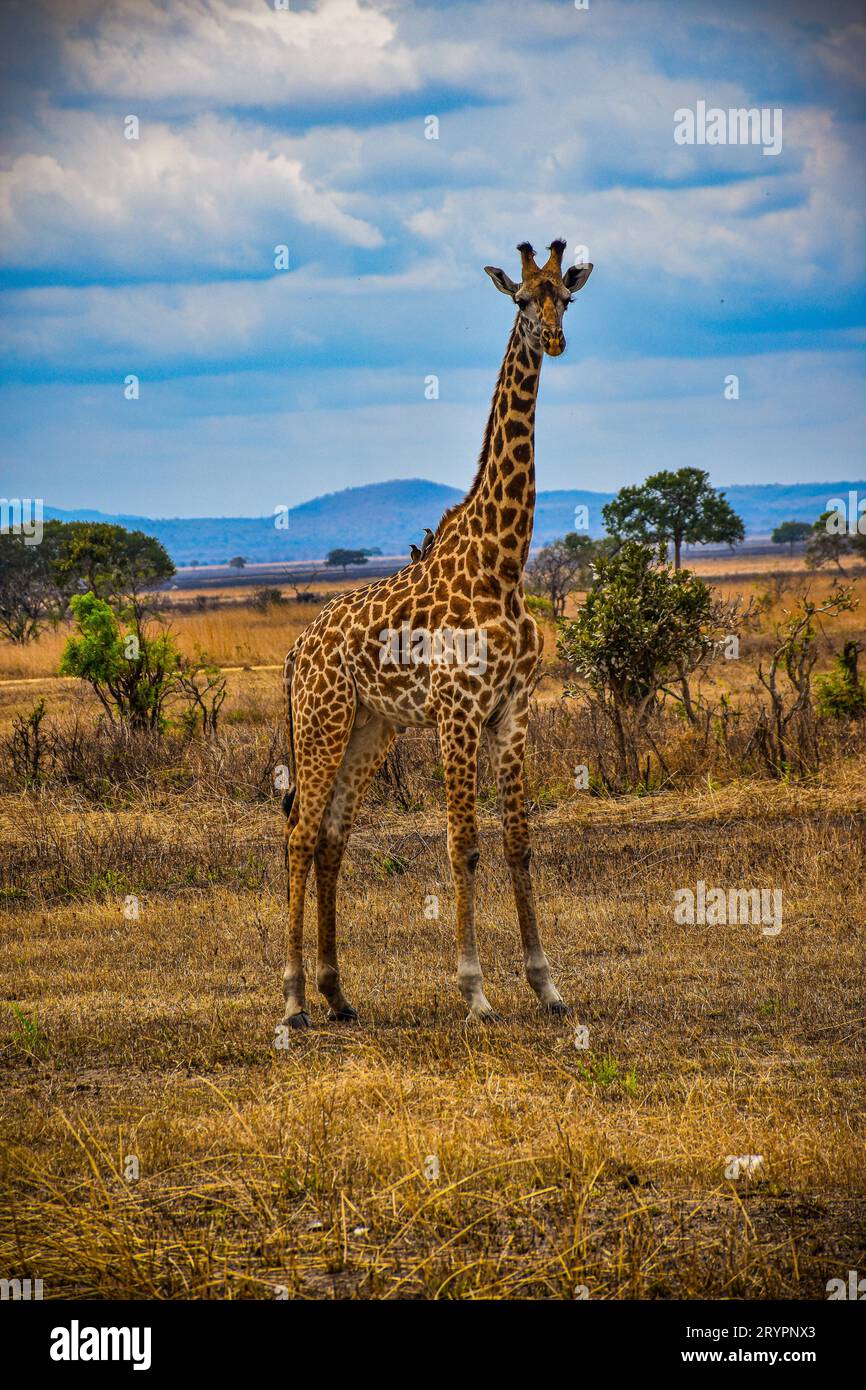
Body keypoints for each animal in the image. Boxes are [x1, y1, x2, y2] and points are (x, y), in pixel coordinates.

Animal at [280, 239, 593, 1028]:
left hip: (371, 728)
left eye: (567, 297)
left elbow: (517, 844)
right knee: (298, 834)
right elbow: (464, 845)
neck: (502, 562)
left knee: (330, 836)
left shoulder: (512, 711)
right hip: (323, 721)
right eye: (522, 299)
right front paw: (475, 991)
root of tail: (298, 649)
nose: (554, 340)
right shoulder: (458, 713)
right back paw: (293, 999)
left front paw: (546, 985)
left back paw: (337, 992)